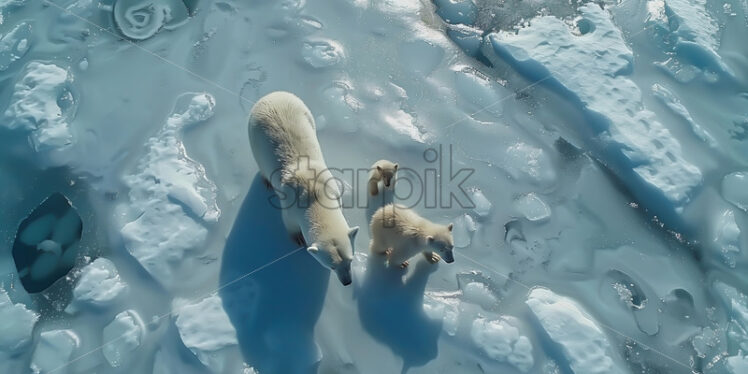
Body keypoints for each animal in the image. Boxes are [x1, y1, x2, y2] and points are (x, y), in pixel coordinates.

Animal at [248, 92, 360, 284]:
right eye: (331, 266)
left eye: (350, 260)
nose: (347, 282)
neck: (314, 194)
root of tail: (272, 94)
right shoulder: (289, 206)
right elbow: (290, 224)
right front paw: (298, 238)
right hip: (254, 133)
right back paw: (266, 181)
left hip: (305, 110)